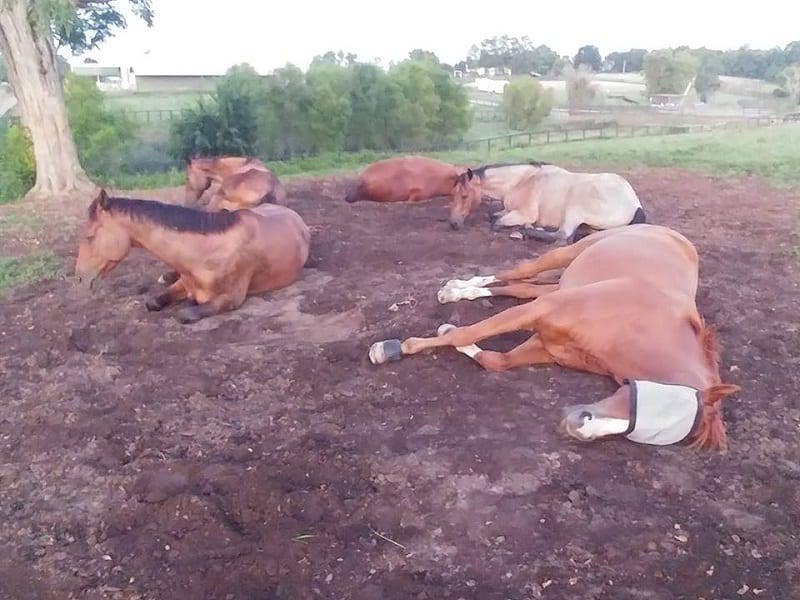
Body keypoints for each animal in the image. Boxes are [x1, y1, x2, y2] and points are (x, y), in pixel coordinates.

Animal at [75, 190, 310, 323]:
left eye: (89, 236)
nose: (79, 278)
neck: (207, 253)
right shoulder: (183, 282)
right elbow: (154, 302)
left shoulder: (231, 298)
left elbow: (186, 314)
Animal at [369, 224, 739, 450]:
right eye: (657, 407)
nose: (577, 426)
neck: (634, 325)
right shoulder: (543, 312)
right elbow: (476, 330)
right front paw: (394, 348)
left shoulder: (545, 344)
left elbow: (494, 360)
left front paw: (451, 334)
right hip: (565, 255)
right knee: (517, 273)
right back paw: (458, 288)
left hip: (559, 285)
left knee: (522, 287)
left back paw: (462, 292)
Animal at [449, 162, 645, 240]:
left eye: (464, 196)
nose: (453, 224)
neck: (520, 182)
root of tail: (635, 204)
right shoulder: (509, 209)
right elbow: (493, 215)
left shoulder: (524, 214)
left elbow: (496, 223)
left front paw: (523, 228)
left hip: (575, 206)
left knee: (563, 236)